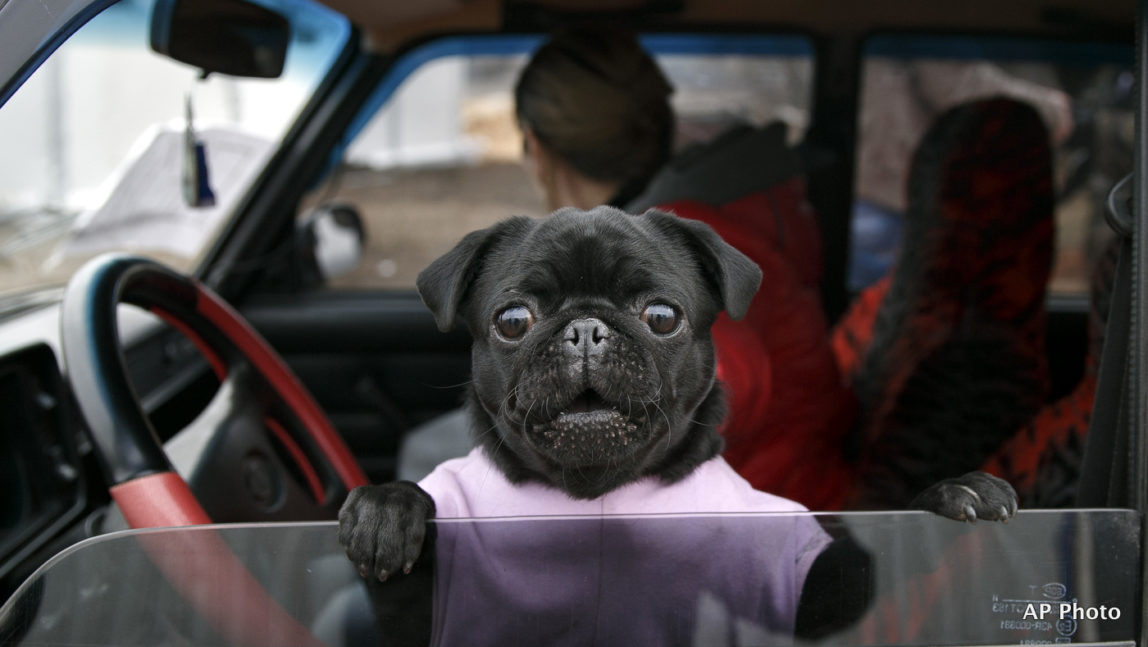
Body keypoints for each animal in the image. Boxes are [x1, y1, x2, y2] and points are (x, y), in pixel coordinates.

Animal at [335, 207, 1019, 642]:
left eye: (661, 316)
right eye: (512, 320)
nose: (587, 328)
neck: (595, 496)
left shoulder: (809, 590)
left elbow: (862, 571)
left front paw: (952, 493)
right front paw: (388, 507)